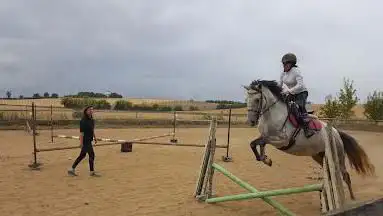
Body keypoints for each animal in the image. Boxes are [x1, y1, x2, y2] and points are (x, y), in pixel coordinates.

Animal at [244, 78, 376, 200]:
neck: (273, 115)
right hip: (319, 156)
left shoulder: (281, 140)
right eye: (247, 99)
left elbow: (260, 142)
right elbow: (255, 144)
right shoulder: (266, 137)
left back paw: (353, 198)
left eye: (257, 100)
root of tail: (336, 133)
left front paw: (265, 159)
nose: (251, 122)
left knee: (345, 175)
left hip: (338, 156)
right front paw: (266, 159)